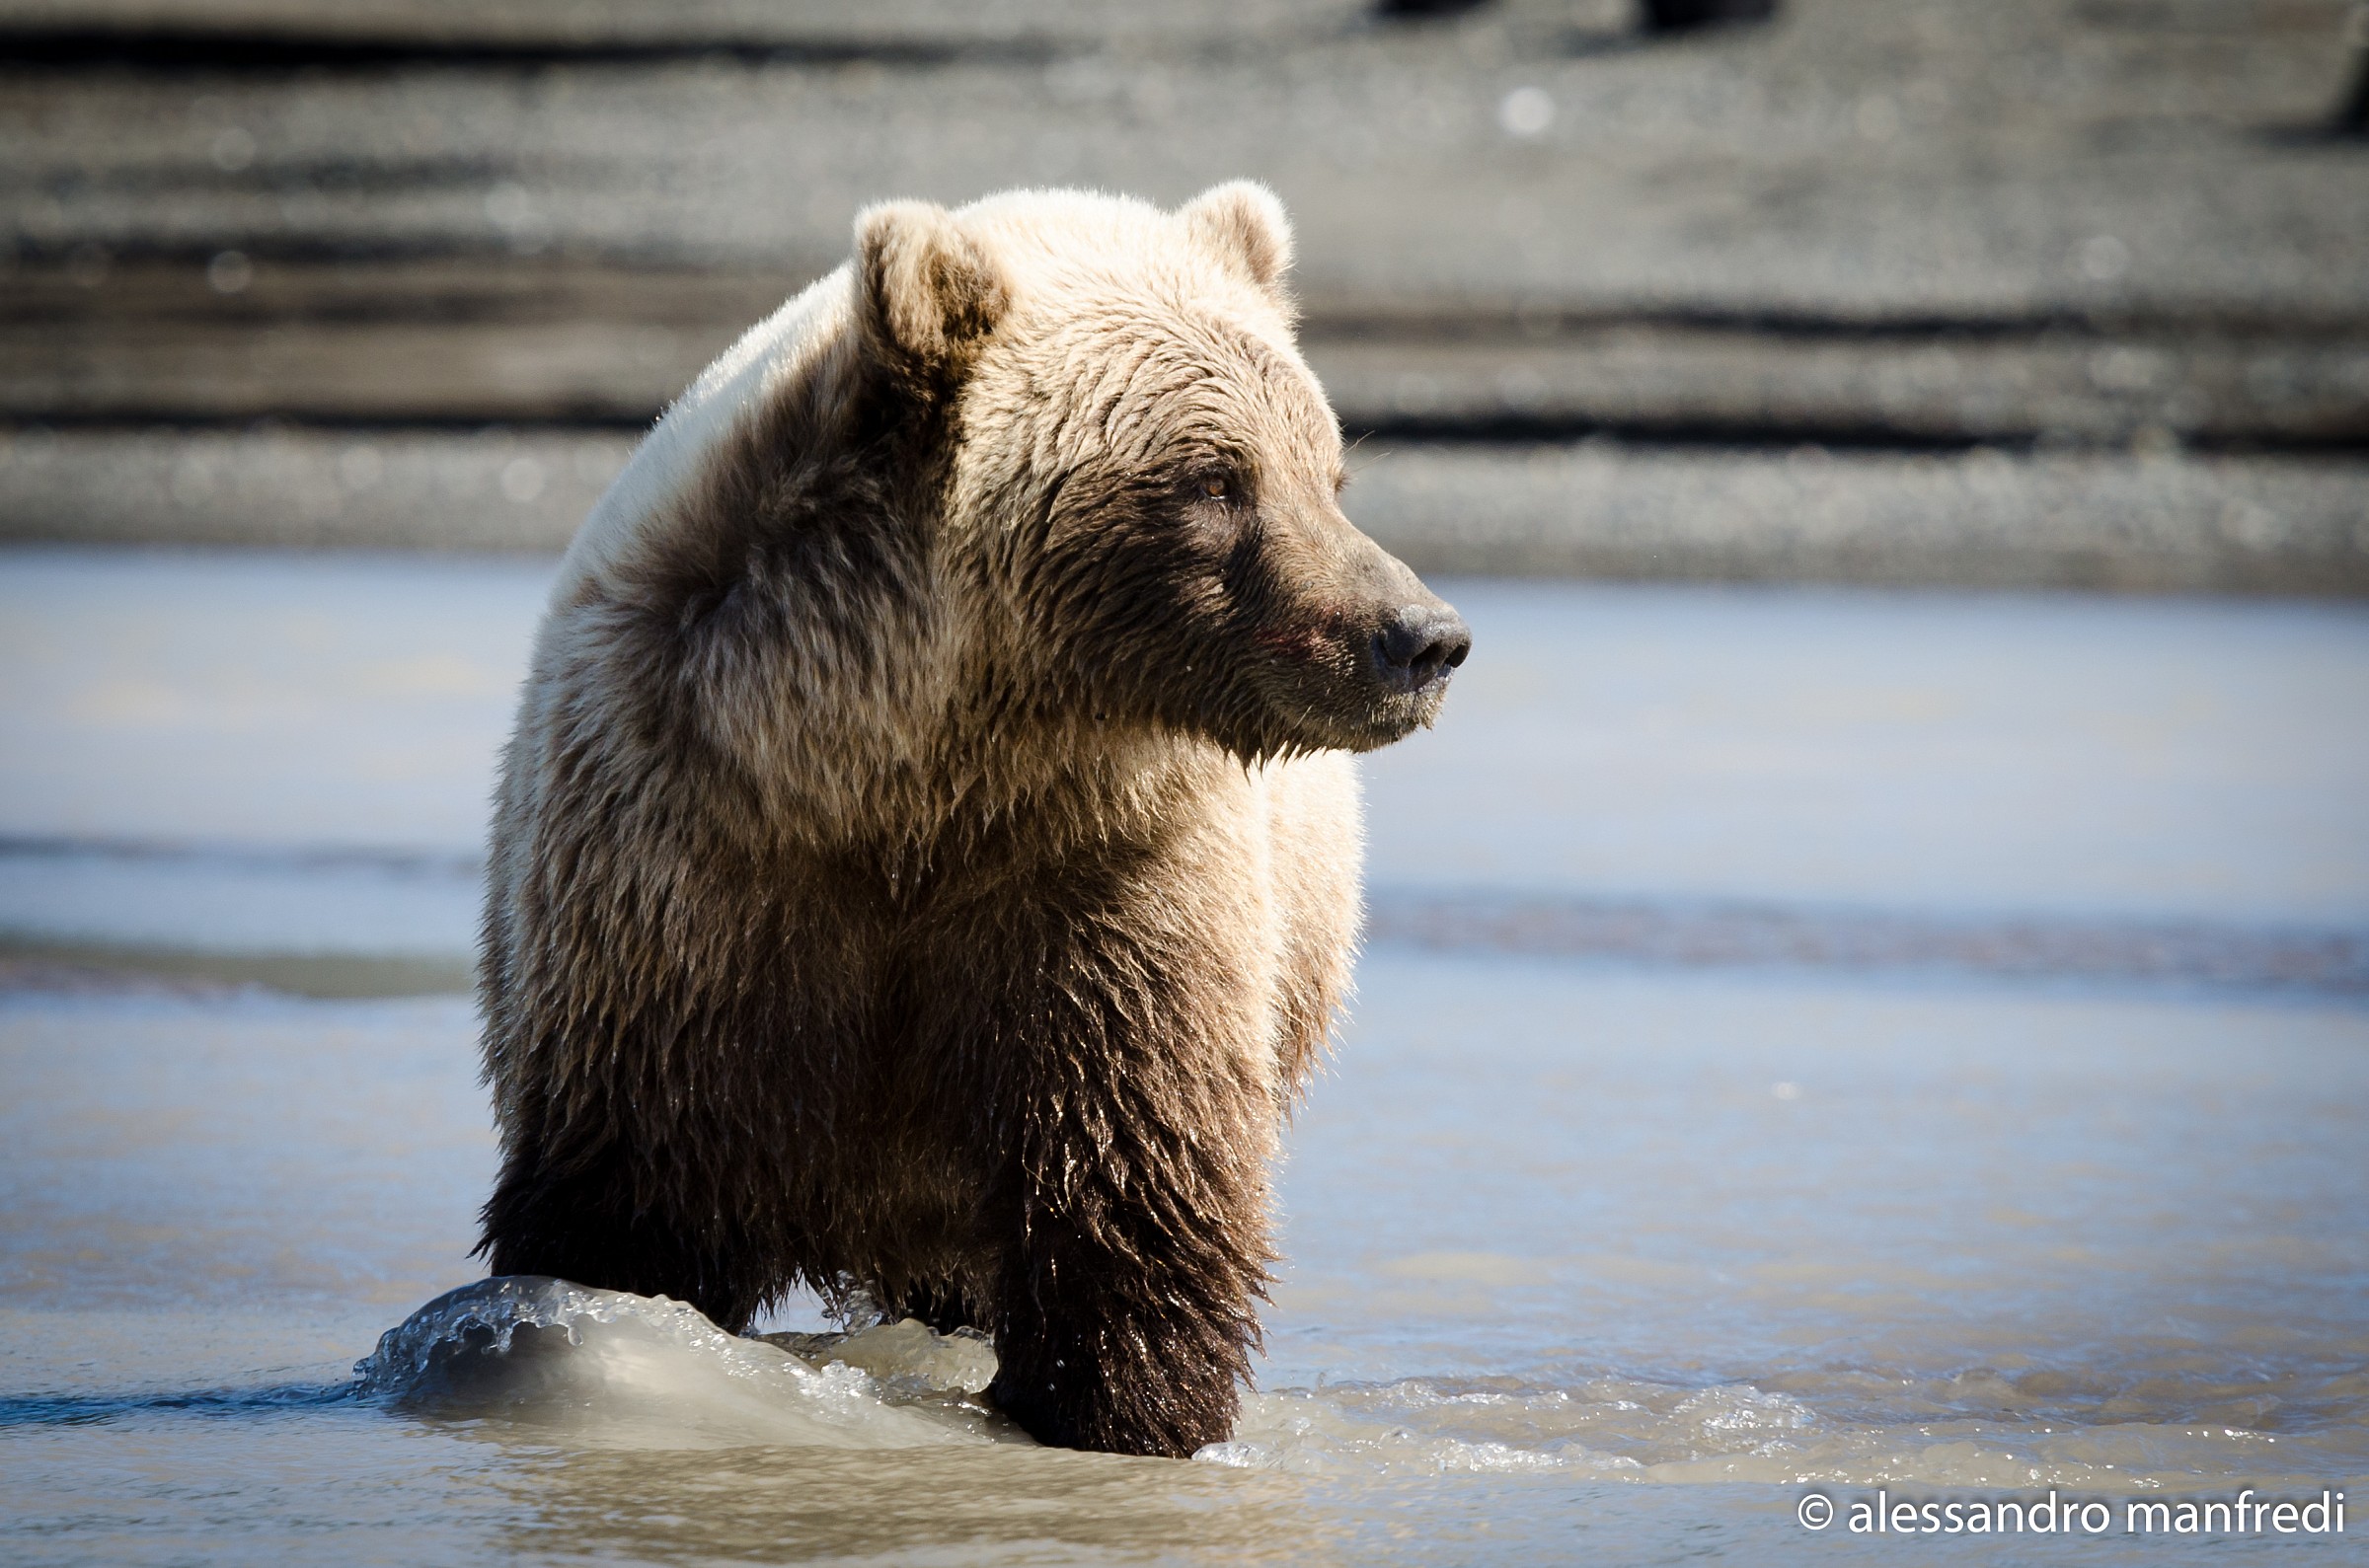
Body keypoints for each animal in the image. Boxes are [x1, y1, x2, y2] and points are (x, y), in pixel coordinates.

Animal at [476, 185, 1459, 1458]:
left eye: (1329, 471)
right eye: (1217, 479)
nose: (1422, 637)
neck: (910, 780)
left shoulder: (1100, 880)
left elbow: (1132, 1184)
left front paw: (1126, 1414)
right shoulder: (685, 875)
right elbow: (626, 1204)